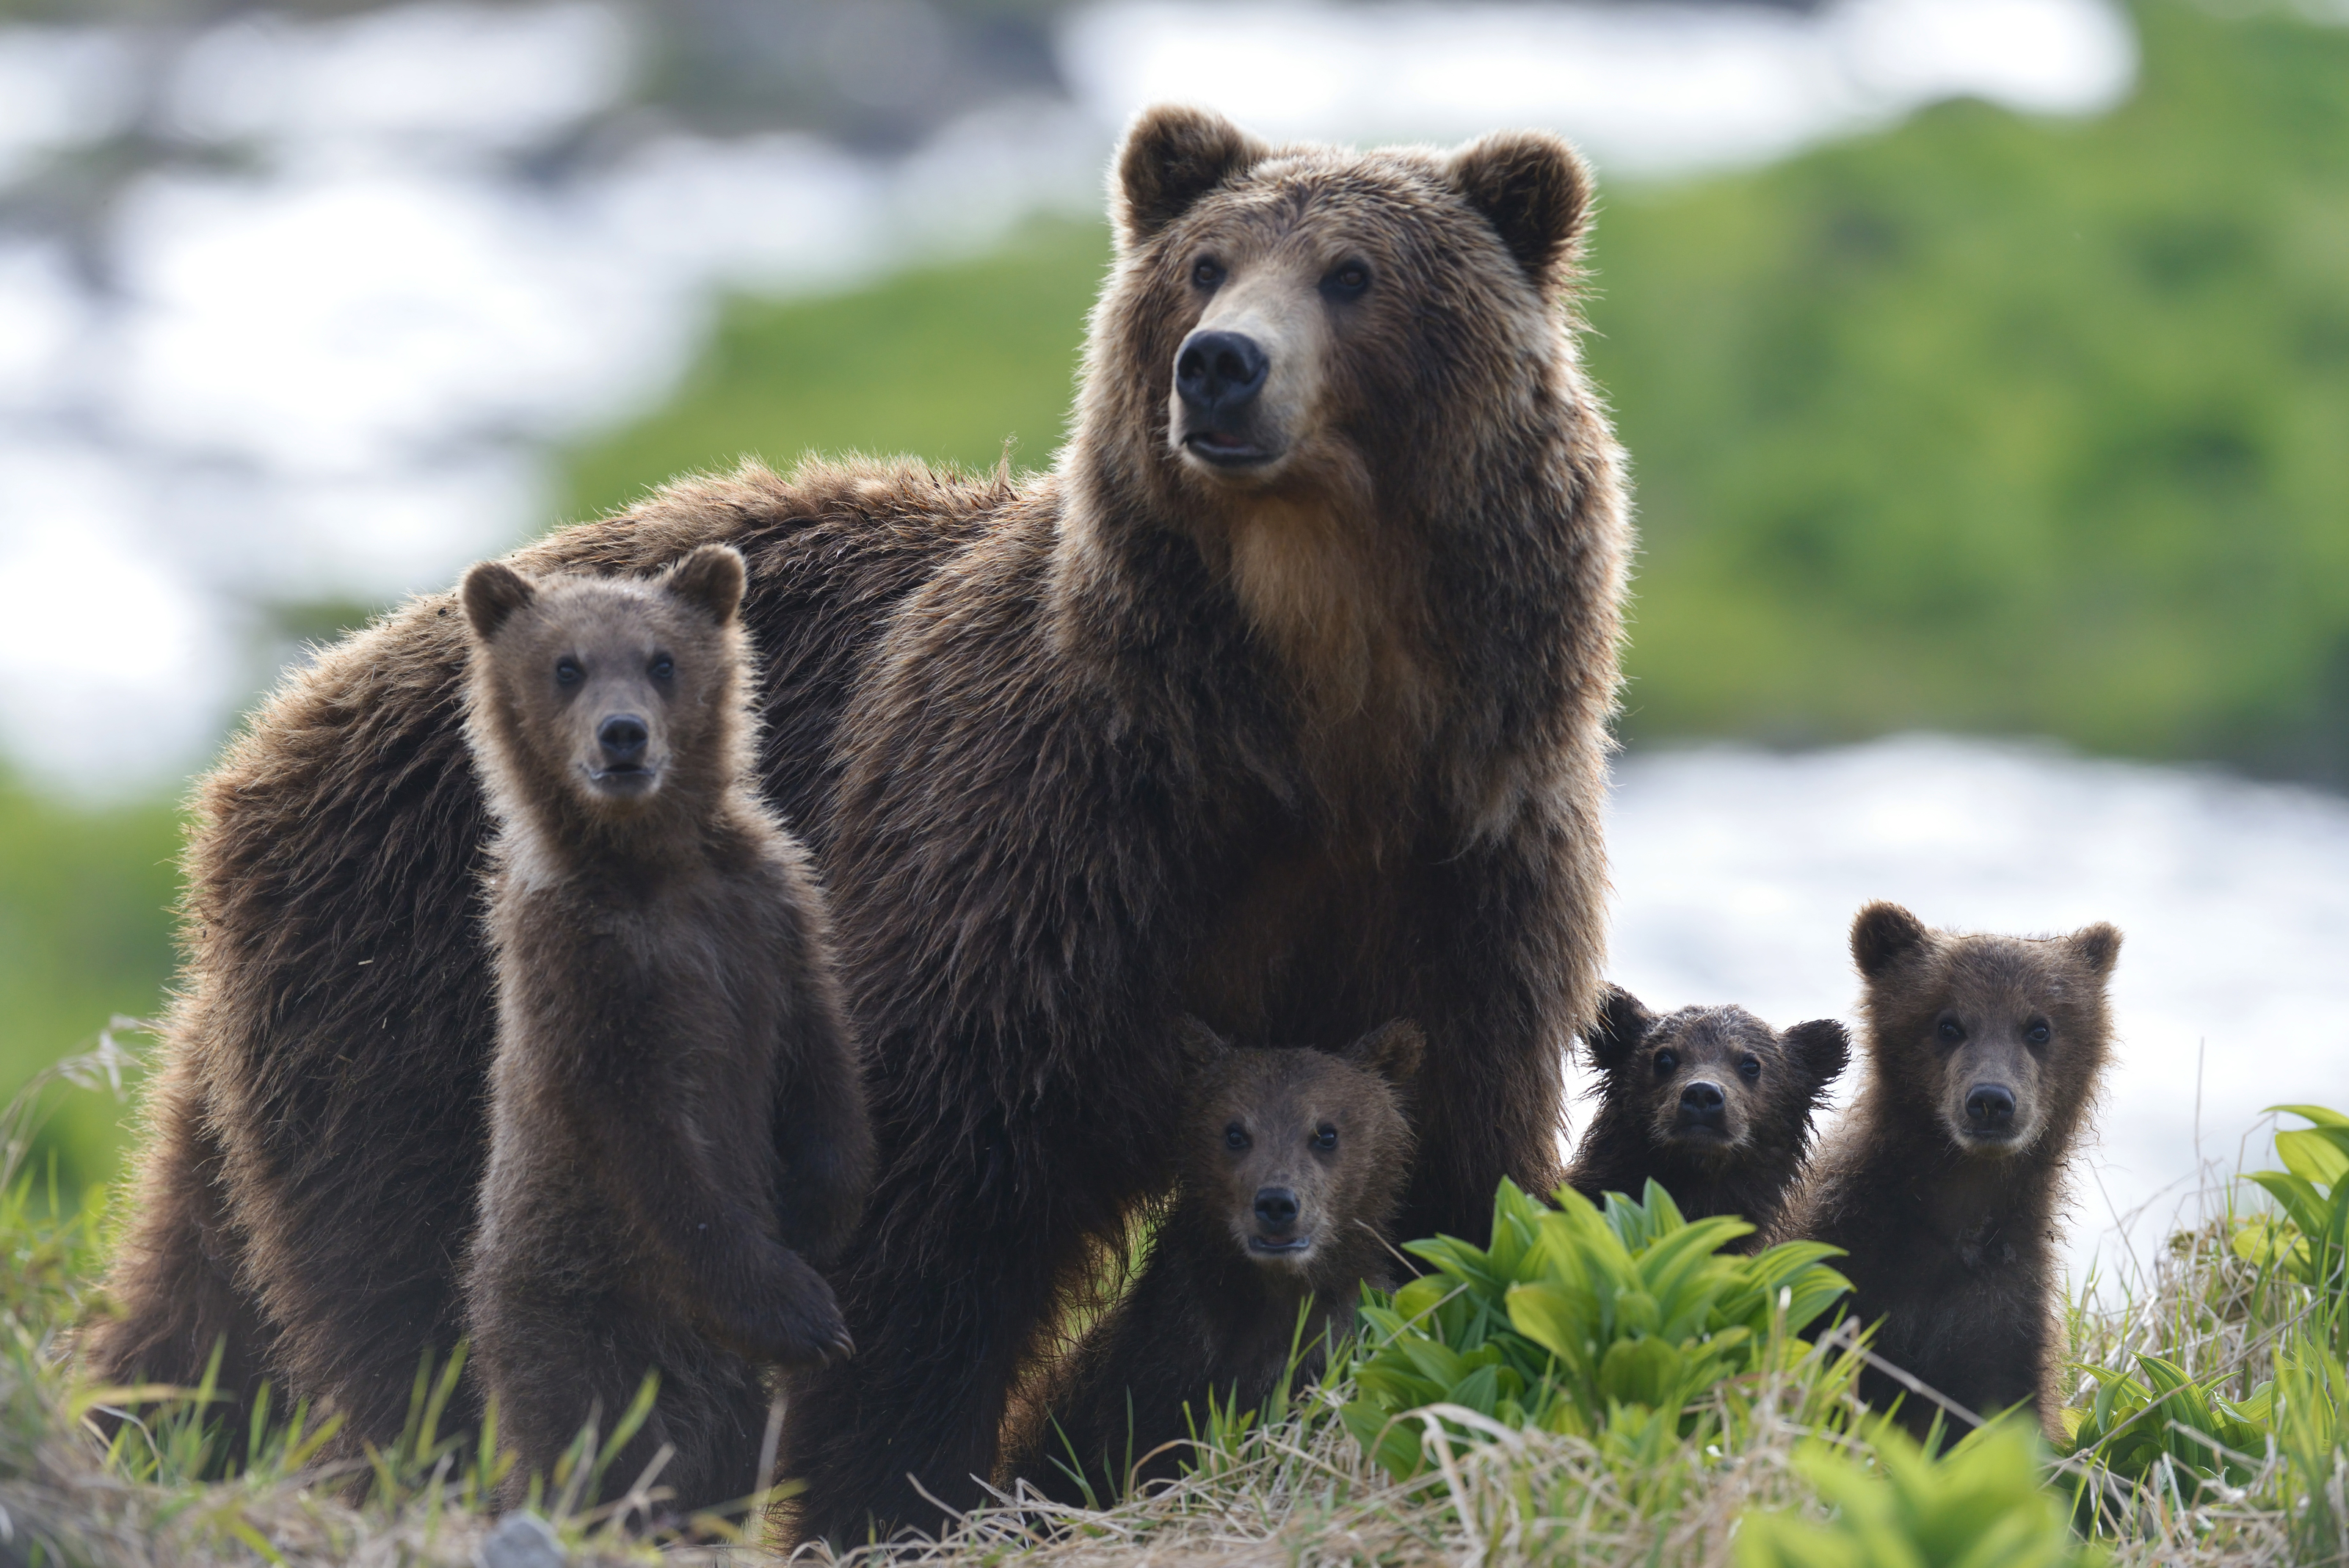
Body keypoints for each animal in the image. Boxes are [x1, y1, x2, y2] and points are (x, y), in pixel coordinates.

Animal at [96, 107, 1635, 1530]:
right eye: (1205, 265)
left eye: (1353, 272)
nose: (1221, 363)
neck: (1309, 720)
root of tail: (284, 724)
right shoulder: (1049, 837)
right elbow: (931, 1189)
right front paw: (892, 1492)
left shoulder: (1464, 870)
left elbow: (1460, 1171)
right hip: (422, 993)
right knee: (403, 1278)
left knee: (204, 1277)